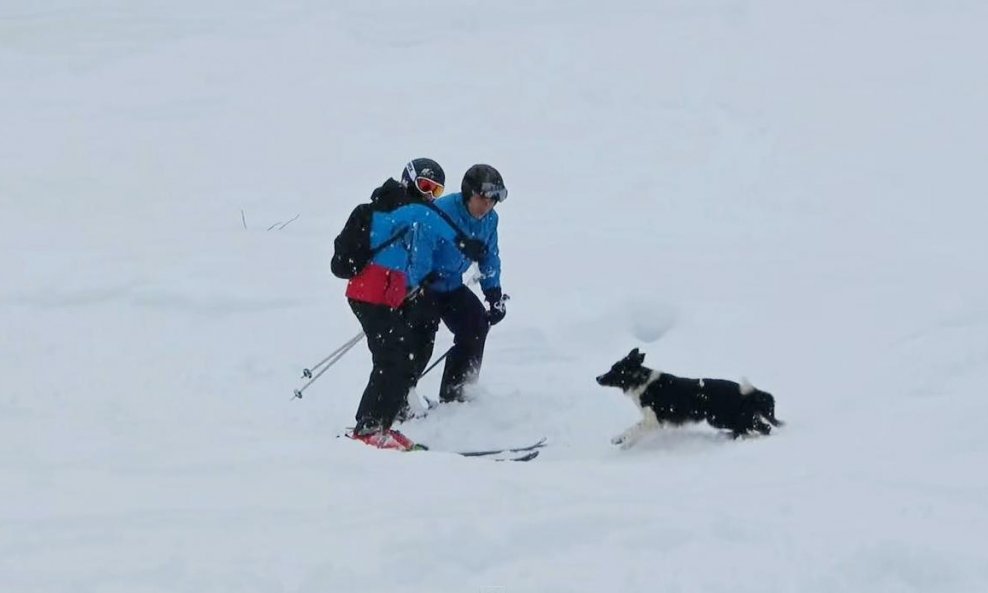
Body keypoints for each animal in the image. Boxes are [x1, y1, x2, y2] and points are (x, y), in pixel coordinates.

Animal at [596, 344, 780, 446]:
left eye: (615, 370)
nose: (597, 378)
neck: (641, 380)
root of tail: (751, 393)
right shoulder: (652, 422)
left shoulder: (653, 420)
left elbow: (633, 428)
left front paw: (618, 439)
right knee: (756, 428)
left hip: (721, 418)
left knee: (760, 428)